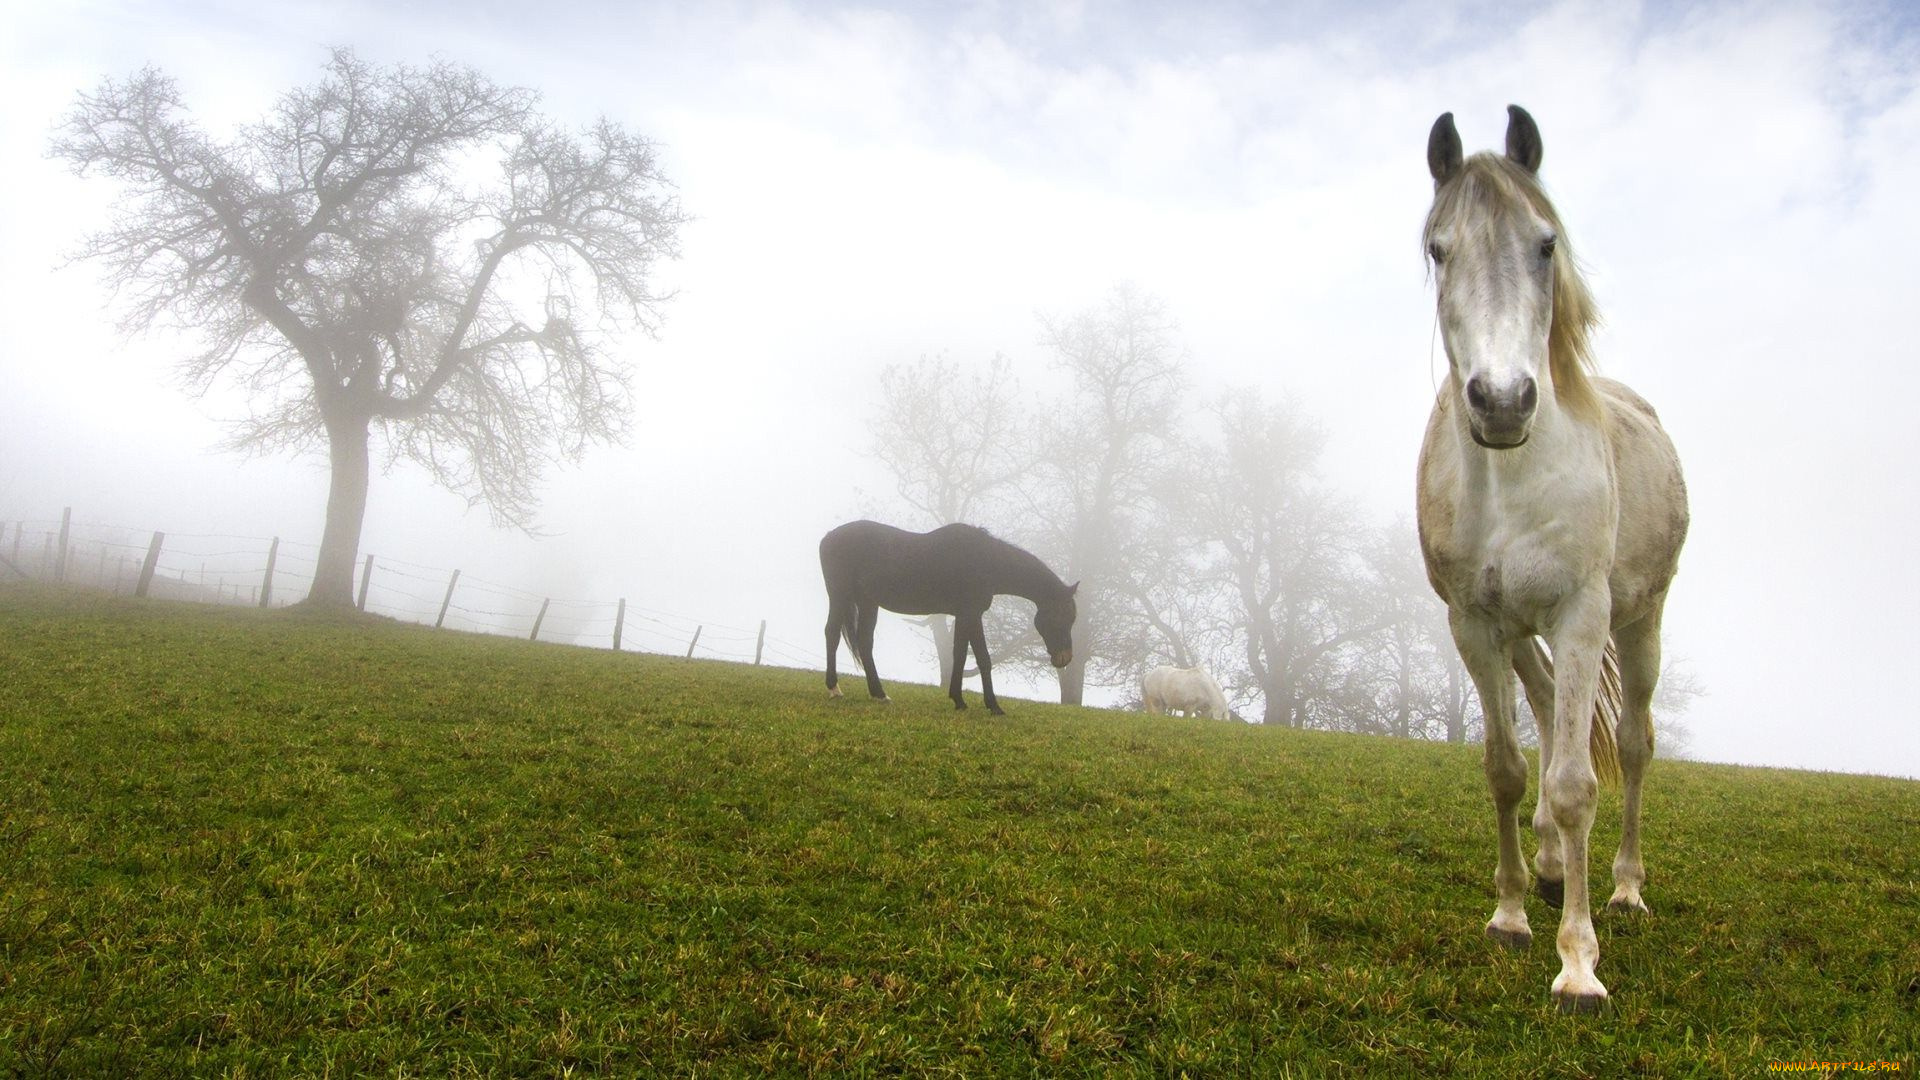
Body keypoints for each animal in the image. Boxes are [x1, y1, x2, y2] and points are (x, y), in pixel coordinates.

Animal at [817, 522, 1075, 714]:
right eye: (1064, 616)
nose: (1065, 658)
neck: (985, 560)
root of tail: (828, 537)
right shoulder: (972, 614)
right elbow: (983, 659)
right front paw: (994, 706)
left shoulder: (963, 616)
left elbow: (959, 655)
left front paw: (958, 700)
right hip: (840, 596)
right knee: (831, 634)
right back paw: (834, 689)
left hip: (868, 603)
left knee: (864, 642)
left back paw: (879, 694)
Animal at [1420, 107, 1689, 1006]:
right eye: (1439, 248)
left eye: (1545, 244)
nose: (1502, 402)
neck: (1511, 473)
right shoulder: (1474, 623)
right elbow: (1506, 768)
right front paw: (1509, 915)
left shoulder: (1579, 616)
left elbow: (1576, 784)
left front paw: (1578, 962)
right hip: (1519, 633)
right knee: (1542, 710)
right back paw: (1545, 869)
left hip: (1639, 624)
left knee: (1633, 745)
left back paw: (1625, 888)